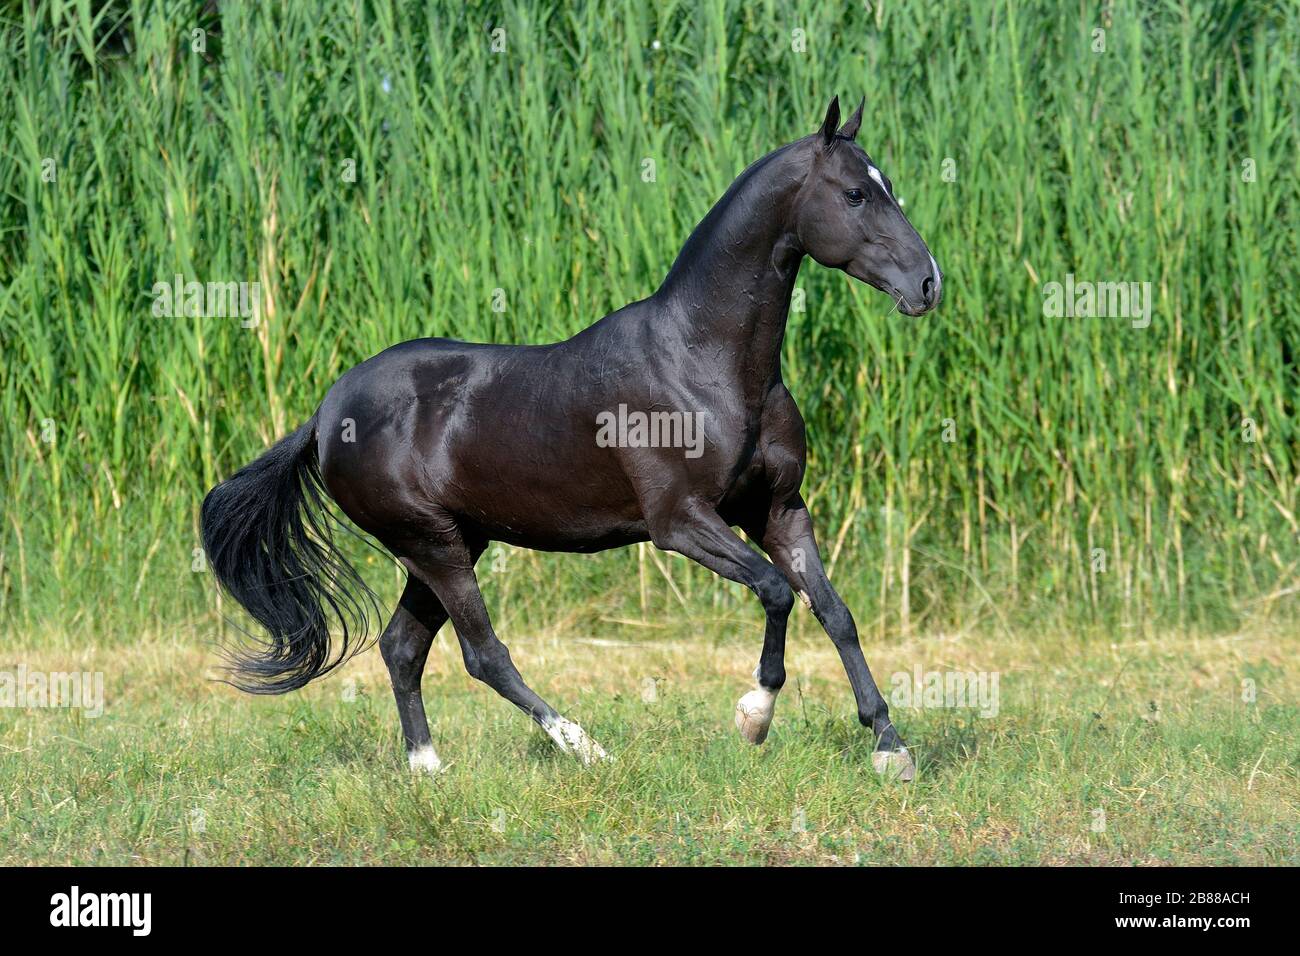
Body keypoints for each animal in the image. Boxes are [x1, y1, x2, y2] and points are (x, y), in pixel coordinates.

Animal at [200, 97, 946, 780]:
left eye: (886, 183)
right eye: (854, 193)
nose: (928, 283)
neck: (704, 361)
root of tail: (328, 415)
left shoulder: (778, 509)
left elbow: (833, 610)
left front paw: (890, 746)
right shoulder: (680, 522)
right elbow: (775, 592)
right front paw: (753, 718)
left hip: (448, 542)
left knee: (402, 647)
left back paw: (428, 770)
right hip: (432, 544)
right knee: (483, 654)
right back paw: (585, 748)